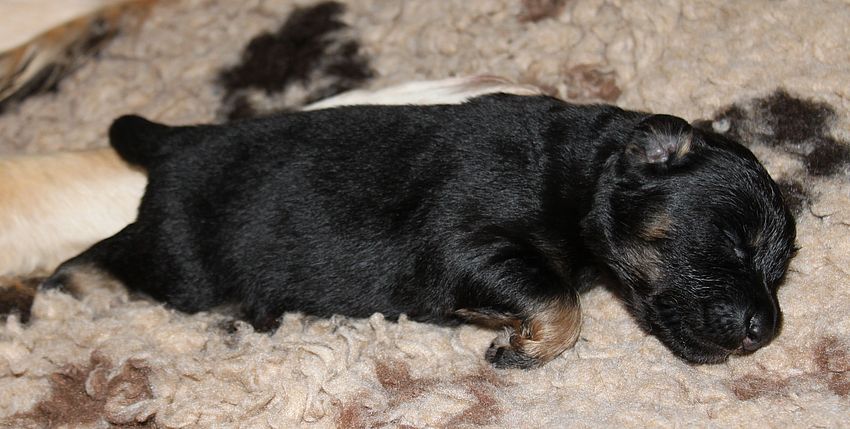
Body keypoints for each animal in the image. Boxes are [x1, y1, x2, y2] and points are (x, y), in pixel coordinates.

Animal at [43, 91, 797, 369]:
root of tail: (175, 142)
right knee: (98, 257)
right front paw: (520, 343)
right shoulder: (462, 247)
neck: (579, 171)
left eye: (779, 268)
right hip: (183, 262)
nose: (766, 329)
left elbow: (560, 297)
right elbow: (560, 300)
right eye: (733, 240)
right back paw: (64, 296)